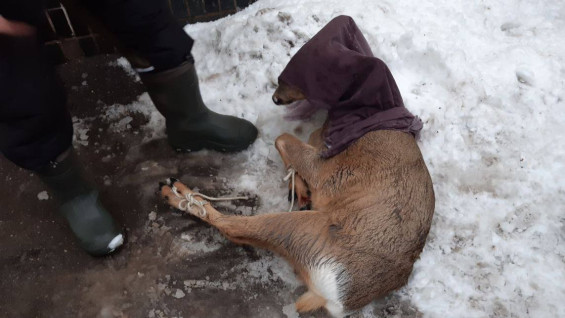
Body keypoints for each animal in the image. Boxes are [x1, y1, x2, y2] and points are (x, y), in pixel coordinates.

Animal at [159, 15, 436, 318]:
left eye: (288, 78)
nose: (275, 98)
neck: (366, 114)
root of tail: (335, 298)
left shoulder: (328, 169)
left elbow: (282, 138)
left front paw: (300, 186)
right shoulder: (319, 144)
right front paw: (299, 188)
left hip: (303, 229)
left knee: (234, 227)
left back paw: (176, 192)